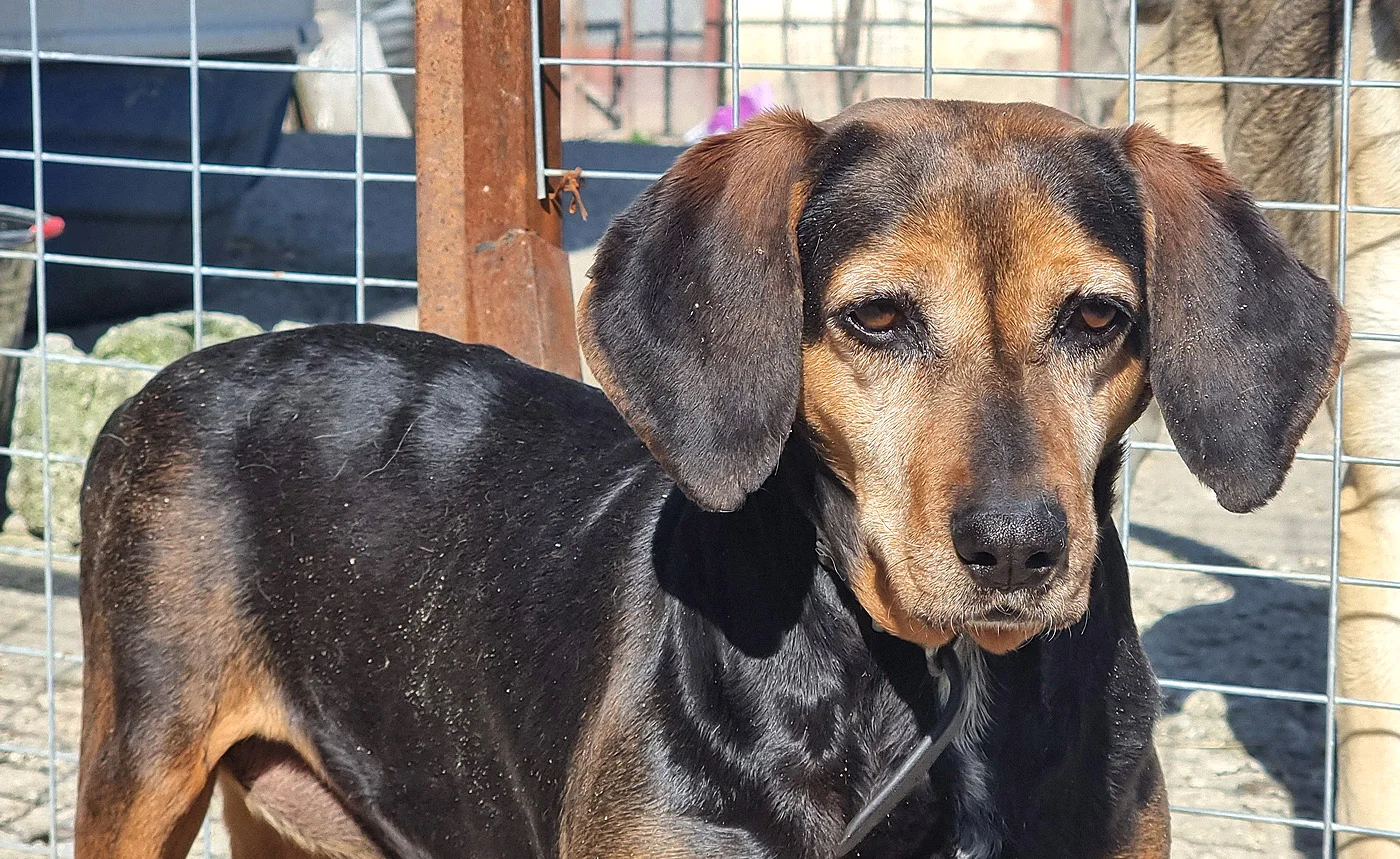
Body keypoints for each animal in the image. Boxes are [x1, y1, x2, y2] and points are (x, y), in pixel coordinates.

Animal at [74, 99, 1346, 859]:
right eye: (875, 317)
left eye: (1094, 317)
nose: (1016, 546)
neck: (931, 688)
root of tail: (172, 373)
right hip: (141, 761)